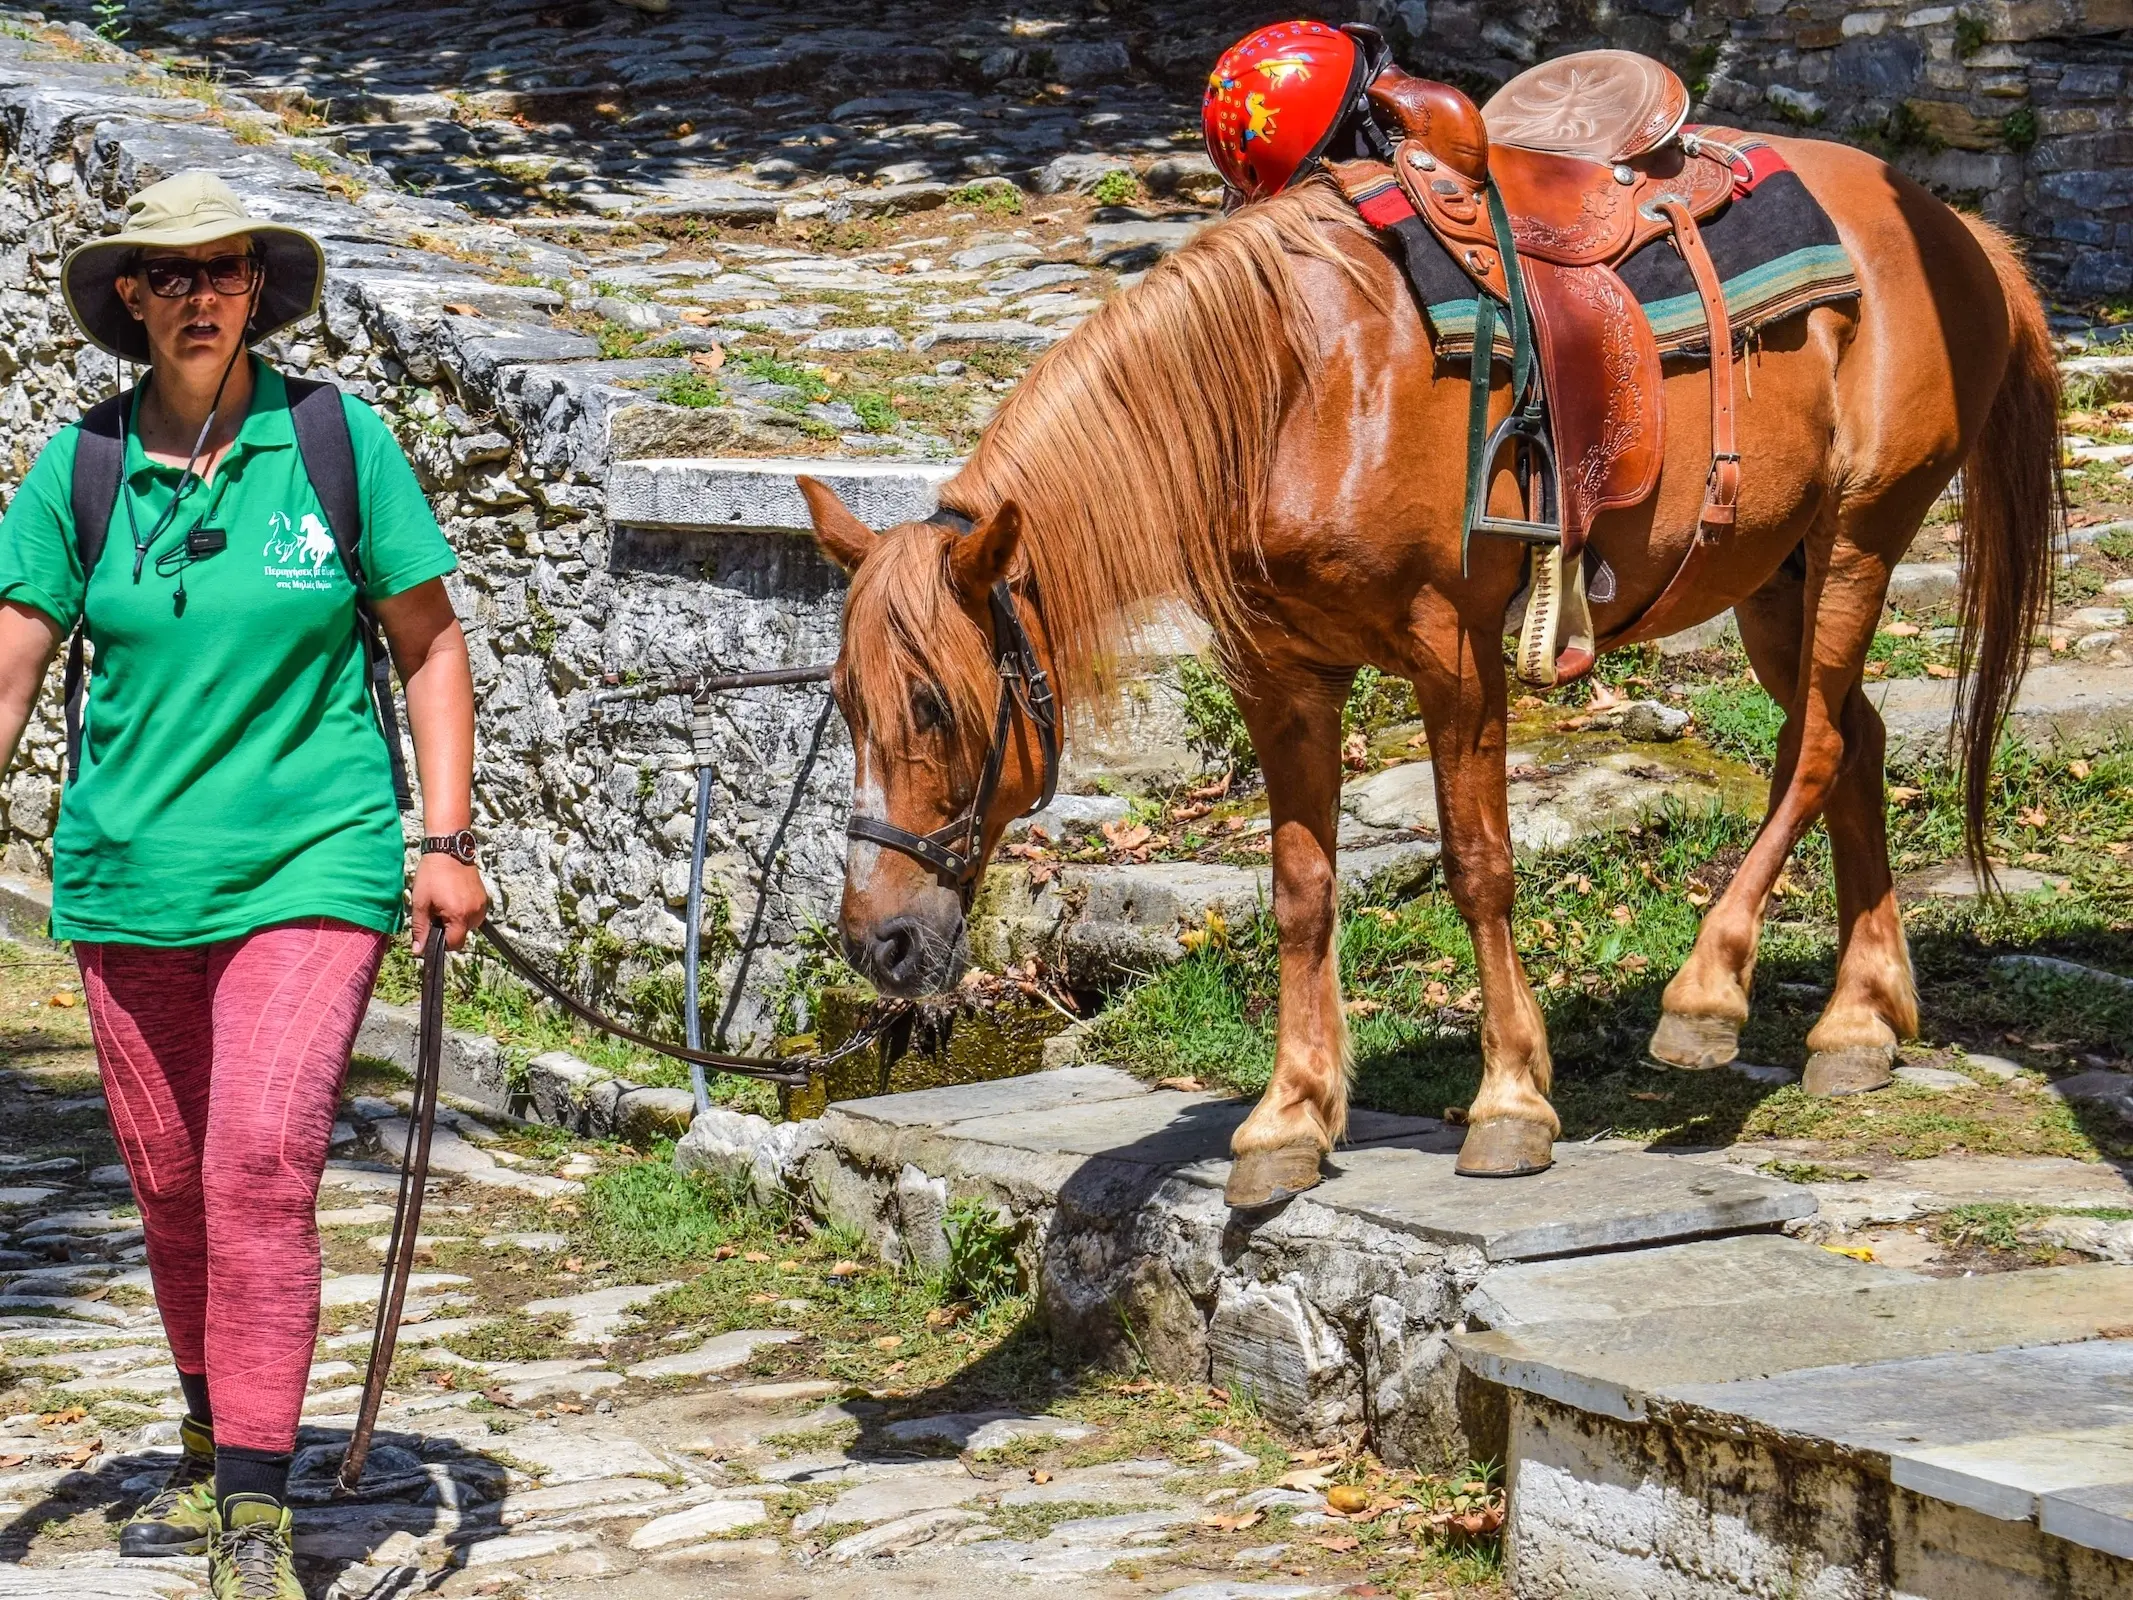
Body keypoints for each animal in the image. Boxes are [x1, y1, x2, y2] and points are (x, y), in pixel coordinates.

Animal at [793, 137, 2056, 1211]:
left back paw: (1709, 995)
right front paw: (1289, 1118)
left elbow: (1479, 866)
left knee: (1818, 747)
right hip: (1774, 576)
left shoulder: (1452, 650)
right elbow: (1301, 892)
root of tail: (1957, 232)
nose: (877, 943)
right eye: (844, 704)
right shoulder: (1281, 680)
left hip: (1856, 541)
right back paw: (1860, 1020)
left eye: (934, 705)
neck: (1298, 388)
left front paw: (1510, 1104)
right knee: (1859, 743)